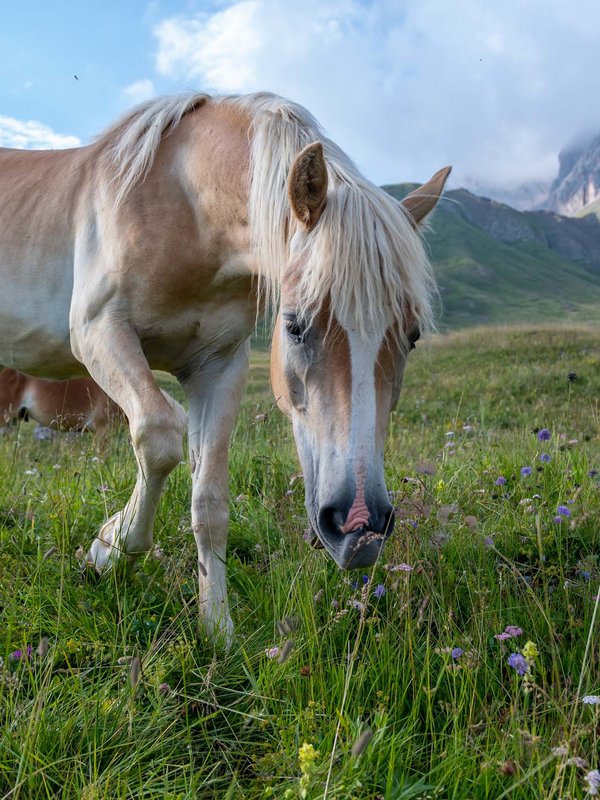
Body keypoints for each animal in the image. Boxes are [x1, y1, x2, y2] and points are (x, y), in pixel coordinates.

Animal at [0, 92, 450, 644]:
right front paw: (111, 548)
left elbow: (209, 500)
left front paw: (216, 627)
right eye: (294, 325)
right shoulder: (99, 333)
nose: (359, 527)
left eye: (412, 335)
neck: (184, 209)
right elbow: (159, 434)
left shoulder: (218, 368)